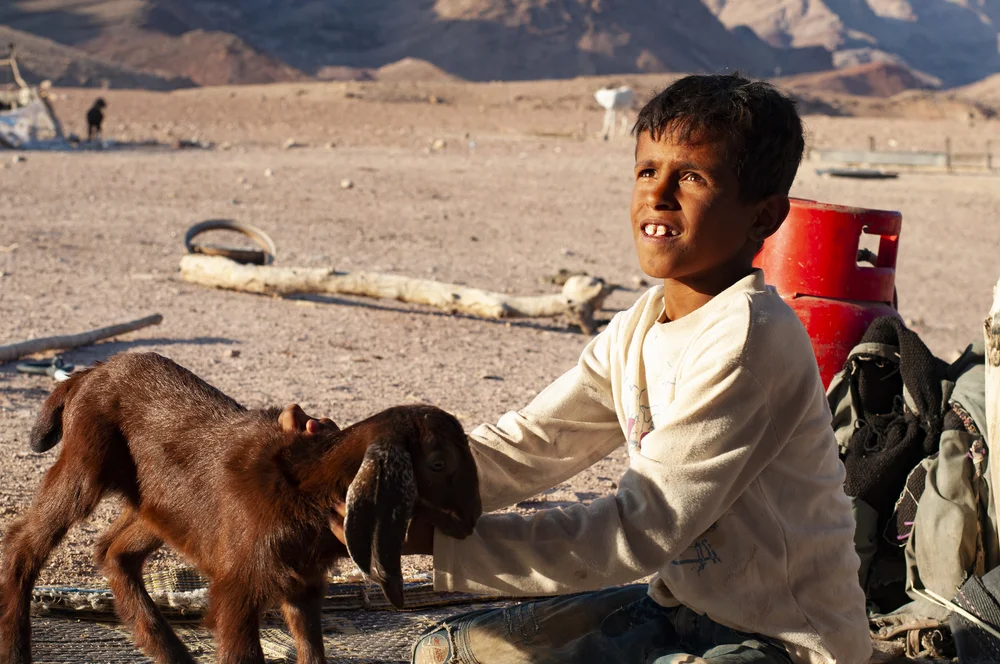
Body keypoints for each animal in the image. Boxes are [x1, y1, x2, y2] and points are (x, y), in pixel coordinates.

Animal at [0, 352, 481, 664]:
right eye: (439, 463)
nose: (474, 517)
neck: (304, 489)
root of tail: (89, 372)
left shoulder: (303, 586)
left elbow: (312, 651)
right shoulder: (238, 590)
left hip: (160, 505)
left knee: (113, 551)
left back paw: (170, 652)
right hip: (84, 466)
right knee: (24, 542)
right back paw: (16, 648)